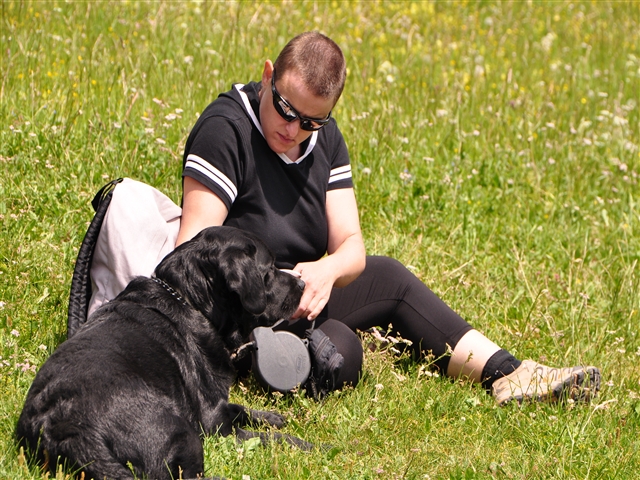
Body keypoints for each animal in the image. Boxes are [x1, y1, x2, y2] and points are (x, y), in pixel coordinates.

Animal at [16, 226, 310, 480]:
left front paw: (271, 417)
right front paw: (303, 443)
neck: (190, 302)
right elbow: (264, 436)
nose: (303, 285)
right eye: (269, 269)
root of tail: (68, 429)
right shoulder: (214, 425)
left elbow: (239, 408)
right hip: (183, 432)